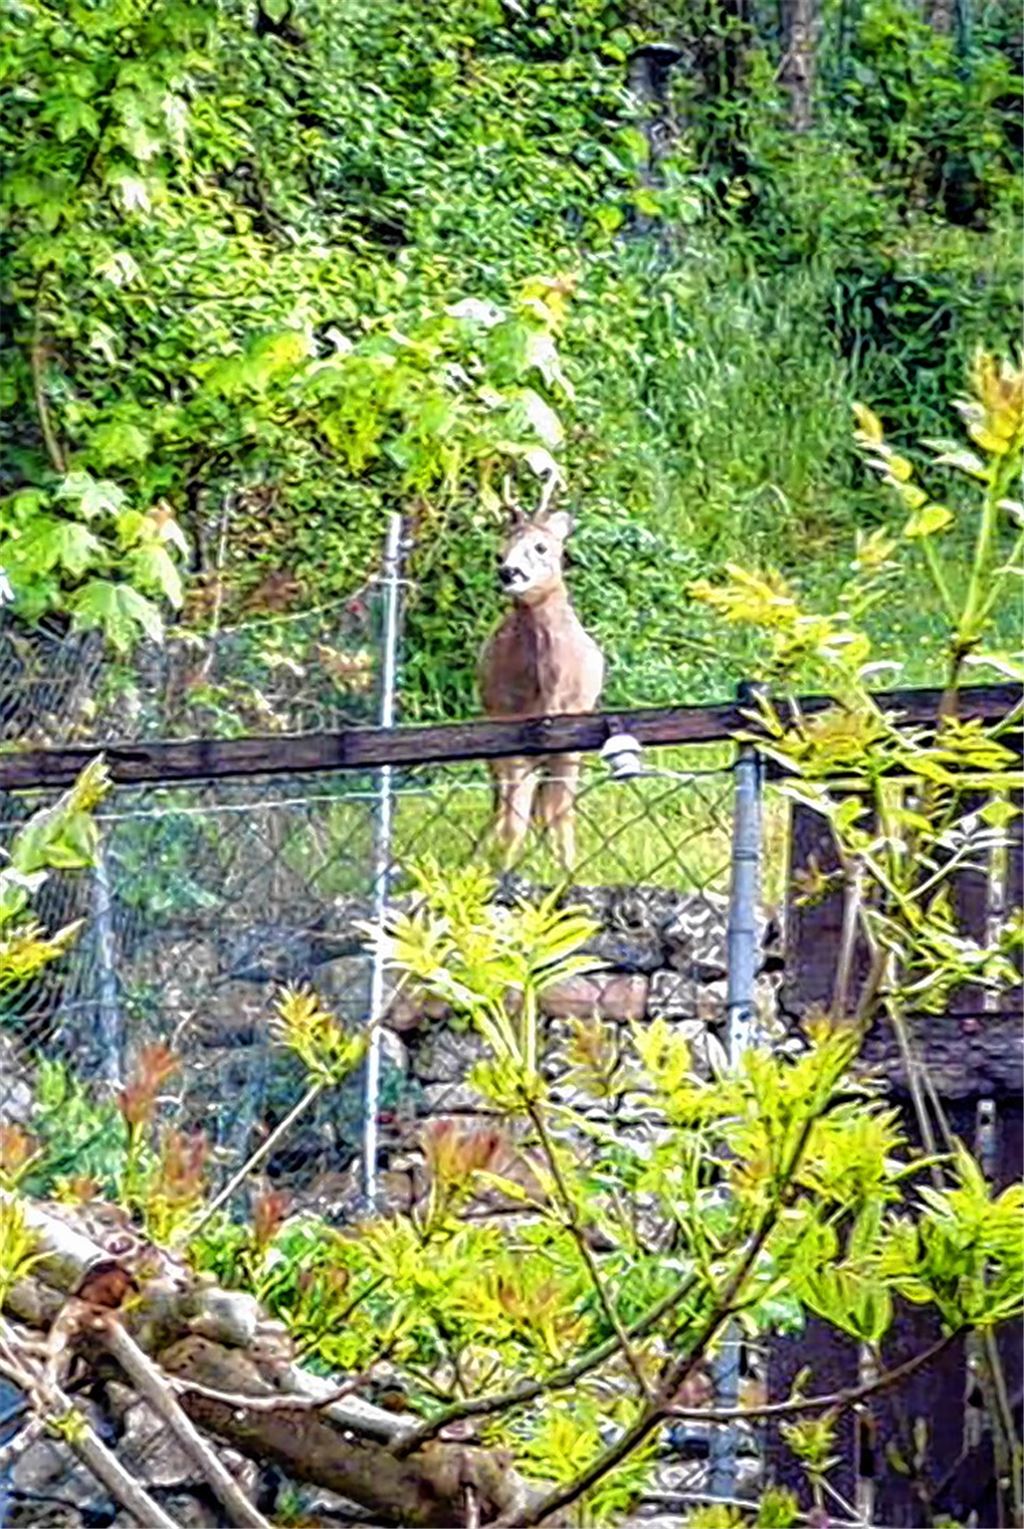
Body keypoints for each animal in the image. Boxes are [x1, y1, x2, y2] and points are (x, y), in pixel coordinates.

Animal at [478, 473, 605, 873]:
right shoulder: (511, 734)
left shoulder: (572, 738)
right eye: (499, 553)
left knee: (545, 807)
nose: (507, 573)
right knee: (503, 804)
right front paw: (503, 871)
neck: (548, 689)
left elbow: (561, 813)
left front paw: (566, 871)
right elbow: (514, 821)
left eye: (541, 547)